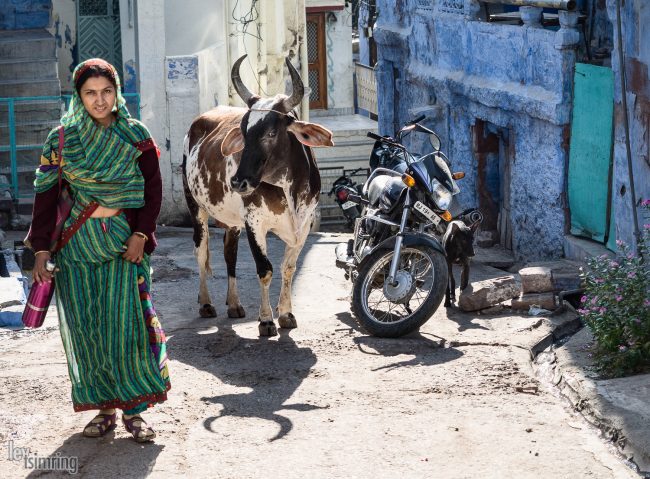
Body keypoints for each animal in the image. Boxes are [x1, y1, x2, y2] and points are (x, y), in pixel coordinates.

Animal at [182, 53, 334, 338]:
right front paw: (265, 320)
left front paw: (286, 314)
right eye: (242, 131)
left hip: (232, 220)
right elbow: (265, 270)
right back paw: (206, 303)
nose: (238, 181)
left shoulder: (305, 224)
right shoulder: (255, 223)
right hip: (196, 208)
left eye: (271, 133)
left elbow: (288, 268)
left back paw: (234, 303)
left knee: (229, 253)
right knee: (201, 251)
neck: (289, 189)